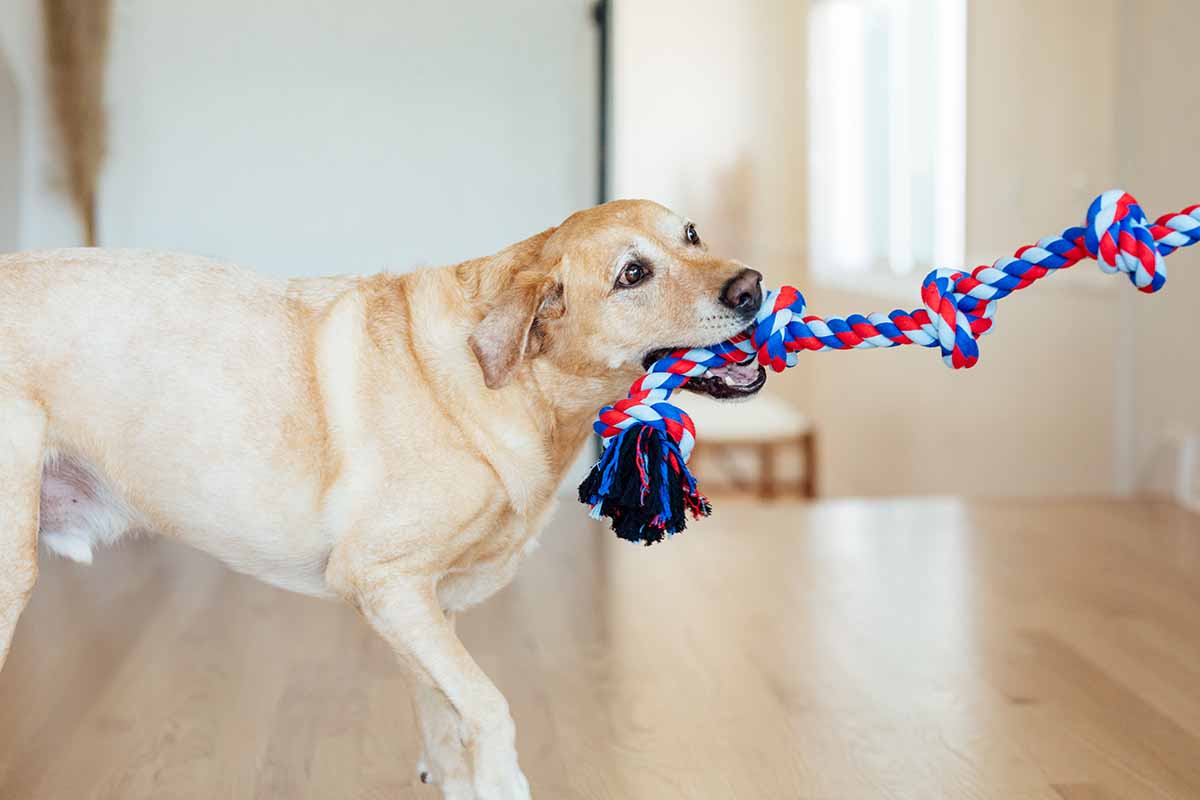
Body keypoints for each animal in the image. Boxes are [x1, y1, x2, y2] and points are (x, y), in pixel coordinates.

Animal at [0, 199, 763, 796]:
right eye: (633, 274)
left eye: (691, 233)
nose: (752, 287)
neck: (513, 385)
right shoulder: (383, 581)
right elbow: (488, 707)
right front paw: (503, 780)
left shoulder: (424, 608)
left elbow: (444, 723)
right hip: (13, 573)